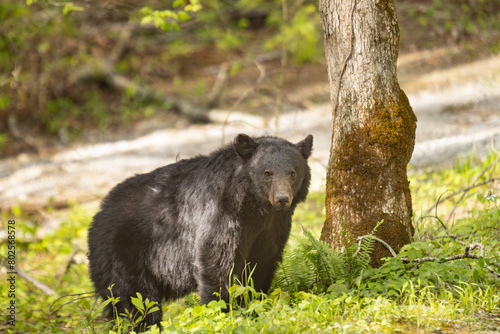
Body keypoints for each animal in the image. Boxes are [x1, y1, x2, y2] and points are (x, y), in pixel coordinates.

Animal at [86, 133, 312, 328]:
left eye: (292, 173)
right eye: (267, 173)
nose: (282, 199)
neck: (253, 206)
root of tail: (98, 215)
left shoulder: (272, 227)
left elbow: (261, 263)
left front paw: (254, 303)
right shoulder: (220, 213)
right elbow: (215, 260)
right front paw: (223, 311)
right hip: (124, 254)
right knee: (135, 301)